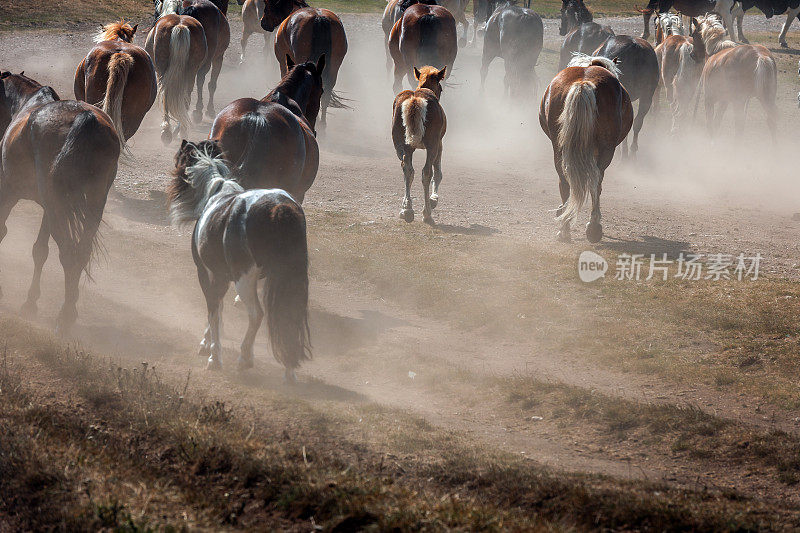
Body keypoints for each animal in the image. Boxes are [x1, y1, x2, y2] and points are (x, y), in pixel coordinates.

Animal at [0, 72, 120, 330]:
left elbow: (2, 231)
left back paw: (64, 317)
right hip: (89, 204)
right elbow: (40, 250)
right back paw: (70, 309)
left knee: (68, 252)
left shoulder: (9, 190)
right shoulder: (50, 206)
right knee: (80, 252)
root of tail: (86, 119)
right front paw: (30, 303)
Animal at [260, 0, 348, 128]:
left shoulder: (283, 63)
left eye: (266, 7)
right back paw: (322, 125)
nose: (263, 23)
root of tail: (319, 18)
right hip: (334, 66)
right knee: (326, 94)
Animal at [540, 55, 636, 242]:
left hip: (559, 147)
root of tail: (583, 83)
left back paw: (565, 227)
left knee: (564, 179)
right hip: (606, 150)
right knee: (596, 181)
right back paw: (593, 227)